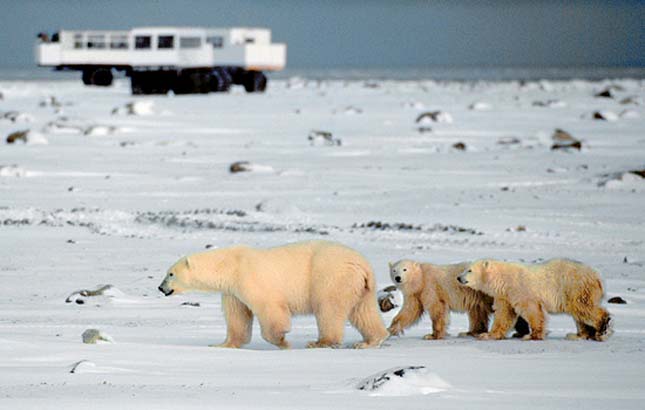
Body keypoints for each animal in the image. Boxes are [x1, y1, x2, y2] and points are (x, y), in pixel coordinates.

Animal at [157, 240, 388, 350]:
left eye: (170, 274)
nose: (160, 287)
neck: (229, 265)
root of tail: (363, 265)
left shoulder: (250, 278)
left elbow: (270, 309)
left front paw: (282, 340)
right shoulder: (233, 291)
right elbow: (237, 318)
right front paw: (222, 344)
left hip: (331, 277)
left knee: (328, 308)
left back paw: (320, 342)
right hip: (361, 287)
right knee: (363, 312)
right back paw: (369, 341)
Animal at [388, 260, 528, 340]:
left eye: (405, 269)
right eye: (394, 270)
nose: (398, 278)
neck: (421, 278)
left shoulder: (431, 287)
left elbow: (437, 309)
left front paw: (432, 335)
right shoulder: (415, 294)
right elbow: (410, 311)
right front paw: (391, 329)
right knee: (477, 312)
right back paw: (469, 332)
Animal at [456, 258, 612, 342]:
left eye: (469, 270)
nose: (458, 277)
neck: (504, 278)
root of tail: (597, 277)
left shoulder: (521, 290)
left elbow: (532, 311)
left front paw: (532, 335)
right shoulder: (505, 295)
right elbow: (504, 315)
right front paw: (488, 335)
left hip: (575, 287)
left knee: (583, 307)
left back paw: (602, 328)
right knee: (580, 313)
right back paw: (577, 335)